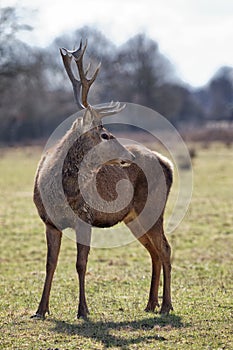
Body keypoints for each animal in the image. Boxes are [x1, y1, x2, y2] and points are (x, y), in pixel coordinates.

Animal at [31, 39, 173, 318]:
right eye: (105, 135)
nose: (128, 155)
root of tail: (166, 163)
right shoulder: (49, 223)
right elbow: (50, 264)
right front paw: (41, 310)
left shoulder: (84, 218)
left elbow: (80, 264)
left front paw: (83, 310)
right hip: (133, 217)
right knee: (154, 251)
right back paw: (150, 304)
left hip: (153, 208)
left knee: (165, 249)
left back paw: (166, 306)